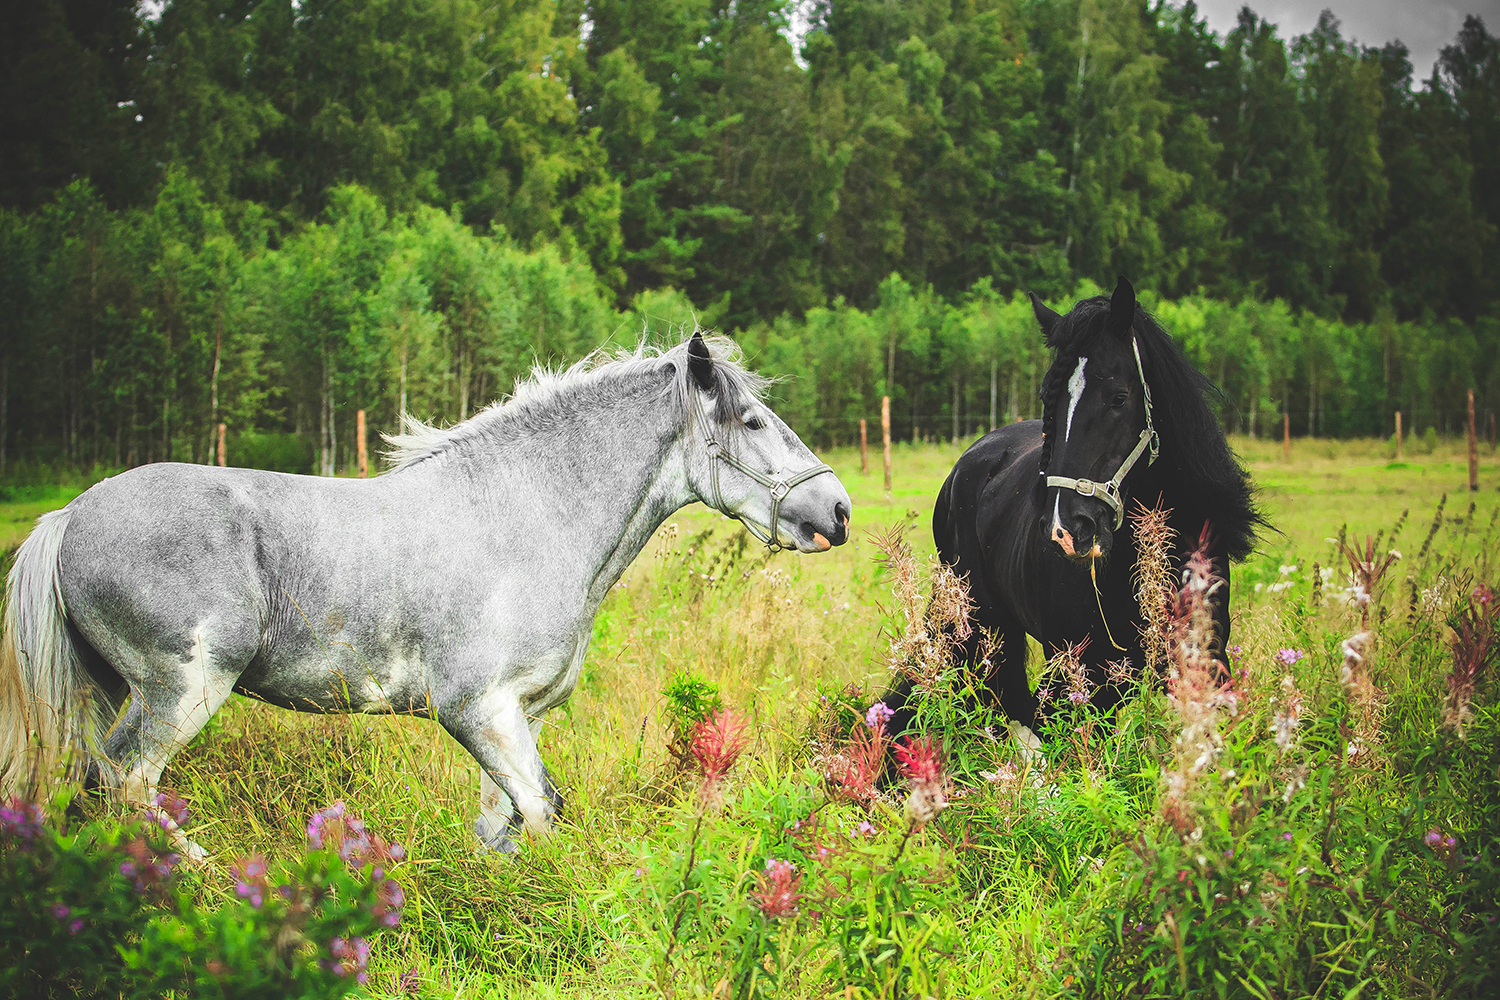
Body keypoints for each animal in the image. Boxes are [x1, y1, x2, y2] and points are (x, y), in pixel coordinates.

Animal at [0, 332, 852, 857]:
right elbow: (542, 812)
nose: (837, 510)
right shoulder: (476, 709)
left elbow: (502, 825)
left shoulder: (517, 715)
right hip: (181, 687)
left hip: (119, 689)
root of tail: (69, 517)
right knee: (127, 784)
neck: (530, 515)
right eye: (752, 421)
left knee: (97, 786)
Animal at [888, 277, 1266, 740]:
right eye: (1047, 396)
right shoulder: (1083, 675)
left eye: (1119, 398)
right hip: (984, 628)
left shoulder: (1204, 663)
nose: (1069, 531)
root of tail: (968, 461)